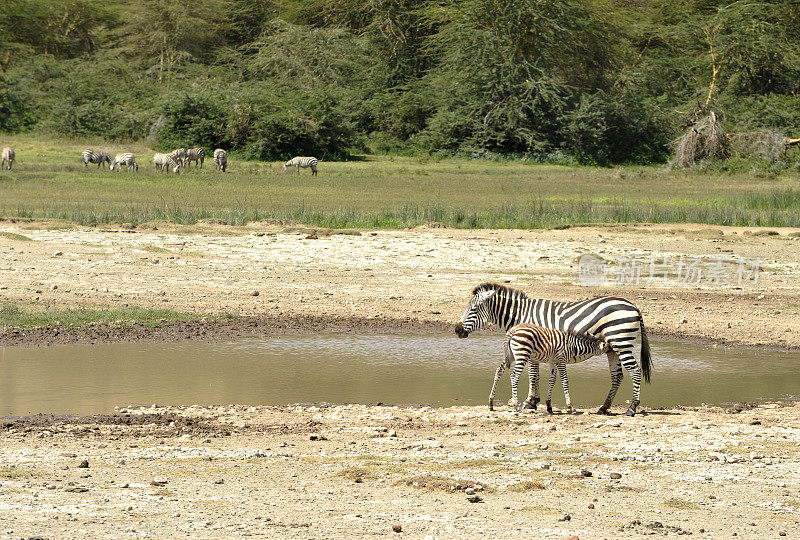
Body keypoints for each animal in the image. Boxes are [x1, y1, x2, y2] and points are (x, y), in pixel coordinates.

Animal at [454, 282, 652, 418]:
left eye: (473, 309)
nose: (457, 330)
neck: (521, 314)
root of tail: (633, 306)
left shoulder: (533, 345)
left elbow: (533, 374)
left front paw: (530, 402)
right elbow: (537, 375)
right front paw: (535, 401)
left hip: (621, 341)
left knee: (635, 371)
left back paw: (632, 408)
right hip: (612, 348)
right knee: (617, 375)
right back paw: (604, 407)